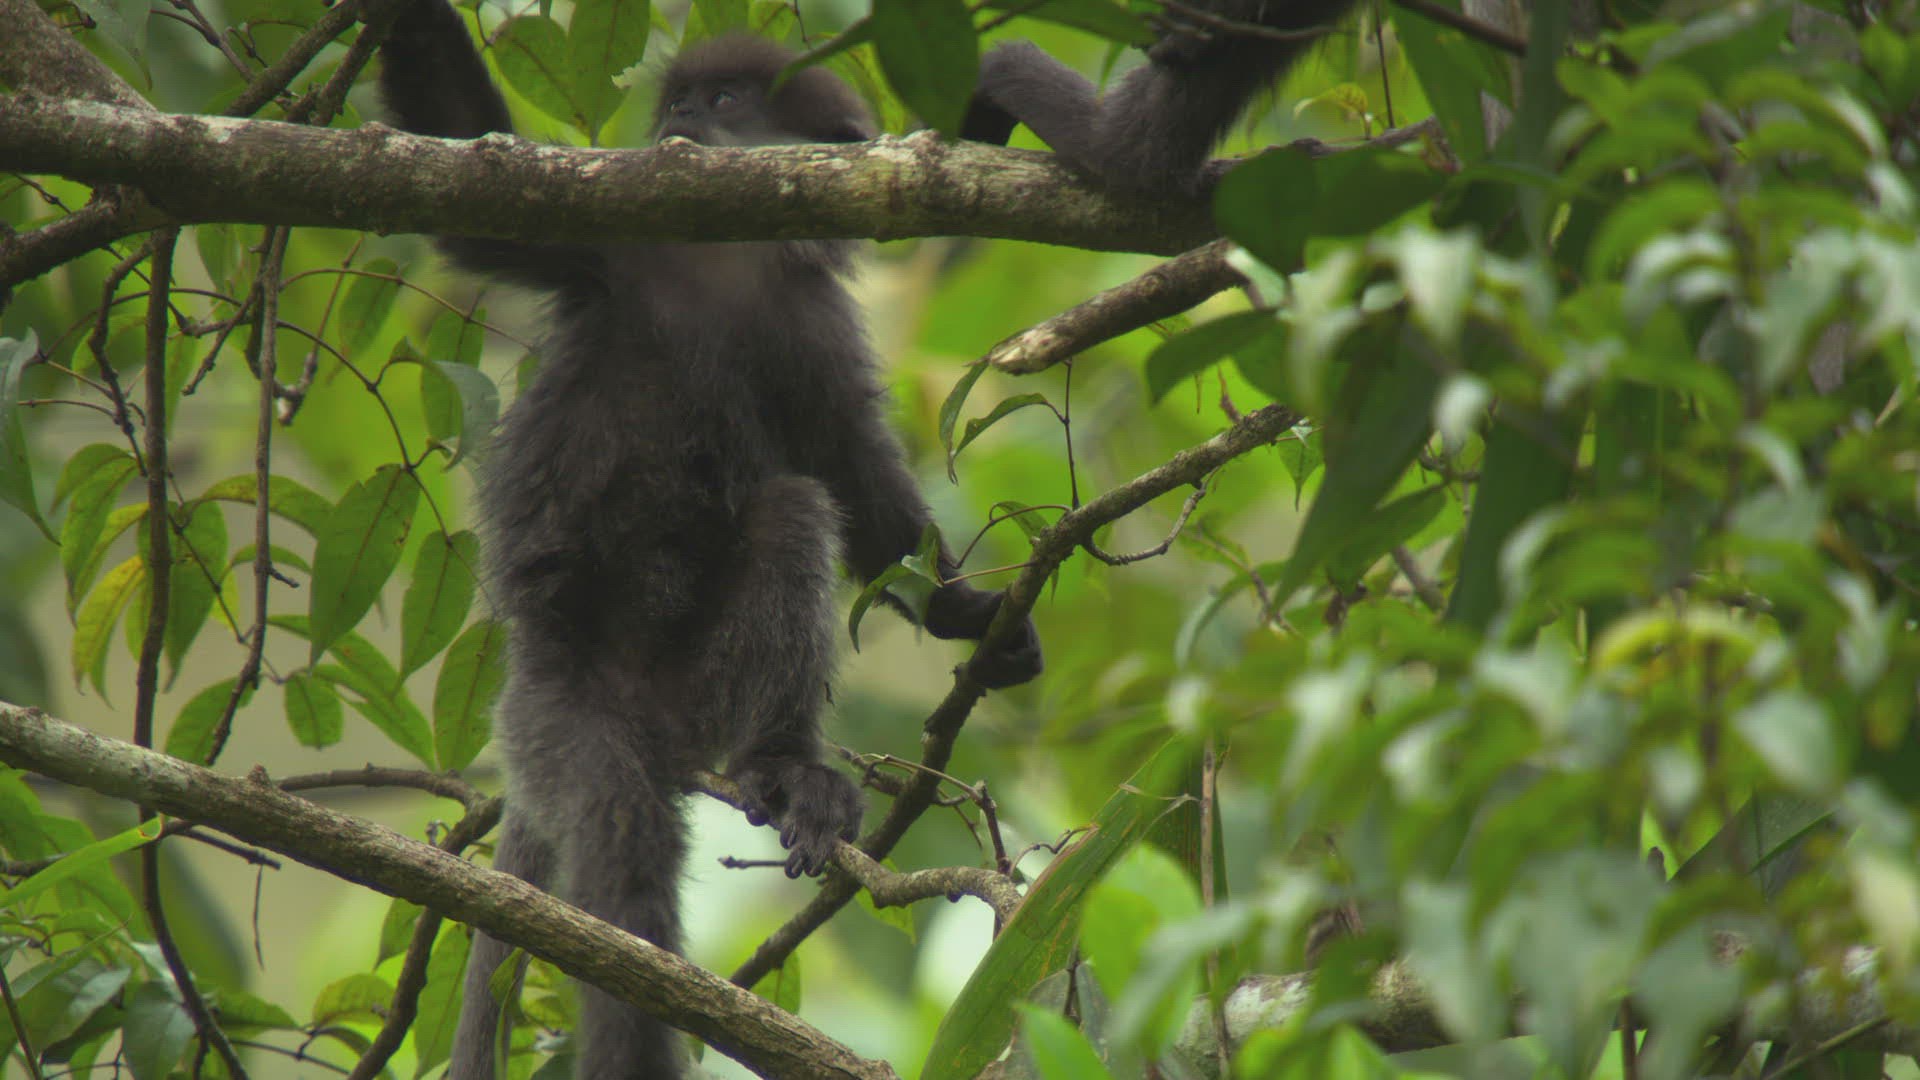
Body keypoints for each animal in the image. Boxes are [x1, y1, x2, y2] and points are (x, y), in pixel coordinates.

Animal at [376, 9, 1044, 1077]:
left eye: (726, 100)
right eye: (678, 104)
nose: (682, 127)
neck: (725, 260)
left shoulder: (807, 320)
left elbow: (852, 477)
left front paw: (964, 611)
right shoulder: (618, 242)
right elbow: (479, 197)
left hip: (706, 682)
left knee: (795, 510)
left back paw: (783, 768)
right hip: (565, 722)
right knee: (623, 850)